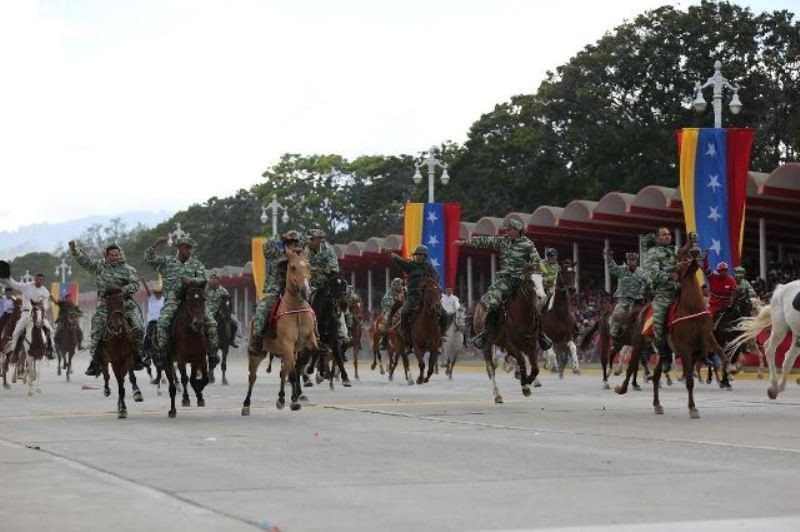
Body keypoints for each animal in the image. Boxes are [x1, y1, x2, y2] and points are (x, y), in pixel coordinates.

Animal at [100, 288, 144, 418]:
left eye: (121, 302)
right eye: (108, 304)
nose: (116, 326)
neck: (118, 337)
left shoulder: (128, 356)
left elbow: (131, 376)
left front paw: (137, 392)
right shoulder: (115, 361)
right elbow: (119, 384)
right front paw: (122, 408)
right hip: (105, 360)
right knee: (107, 375)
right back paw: (107, 391)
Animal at [164, 284, 209, 418]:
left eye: (204, 299)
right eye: (188, 300)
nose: (198, 323)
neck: (191, 334)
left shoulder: (198, 358)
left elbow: (201, 379)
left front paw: (200, 395)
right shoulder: (181, 359)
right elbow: (185, 378)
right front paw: (186, 398)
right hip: (168, 361)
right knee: (173, 384)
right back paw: (173, 409)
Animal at [242, 250, 318, 416]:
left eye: (308, 266)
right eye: (293, 267)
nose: (306, 291)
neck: (296, 307)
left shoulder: (308, 340)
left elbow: (315, 352)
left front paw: (310, 369)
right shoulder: (288, 344)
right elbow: (293, 374)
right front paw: (294, 401)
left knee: (283, 372)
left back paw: (282, 398)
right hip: (258, 352)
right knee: (253, 377)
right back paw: (246, 405)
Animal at [472, 264, 540, 406]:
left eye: (542, 279)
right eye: (530, 281)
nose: (542, 296)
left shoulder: (531, 345)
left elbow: (535, 368)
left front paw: (529, 379)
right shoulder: (510, 345)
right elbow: (522, 361)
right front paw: (525, 385)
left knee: (507, 360)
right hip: (487, 344)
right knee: (491, 368)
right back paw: (498, 395)